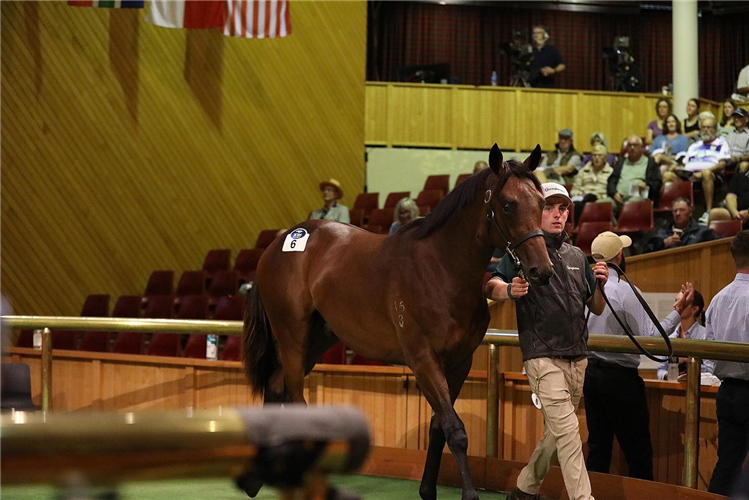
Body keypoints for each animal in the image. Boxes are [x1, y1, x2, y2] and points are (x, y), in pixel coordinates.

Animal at [243, 143, 552, 498]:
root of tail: (277, 245)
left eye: (541, 202)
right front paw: (469, 493)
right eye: (508, 204)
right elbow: (456, 430)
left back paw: (257, 478)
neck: (440, 268)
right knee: (293, 395)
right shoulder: (423, 360)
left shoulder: (459, 362)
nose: (541, 271)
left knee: (275, 383)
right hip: (292, 336)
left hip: (317, 339)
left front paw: (427, 490)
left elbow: (439, 427)